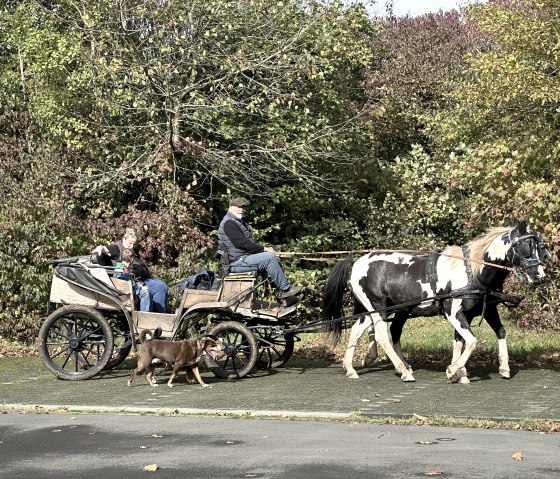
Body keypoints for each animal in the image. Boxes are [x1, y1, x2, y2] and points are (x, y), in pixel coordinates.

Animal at [324, 219, 548, 384]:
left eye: (540, 245)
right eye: (527, 245)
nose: (539, 273)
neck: (473, 271)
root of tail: (356, 261)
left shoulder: (480, 311)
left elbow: (484, 336)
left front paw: (491, 369)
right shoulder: (453, 312)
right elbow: (471, 341)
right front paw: (453, 370)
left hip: (378, 309)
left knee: (358, 329)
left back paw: (351, 368)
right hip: (378, 308)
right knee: (382, 336)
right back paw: (403, 371)